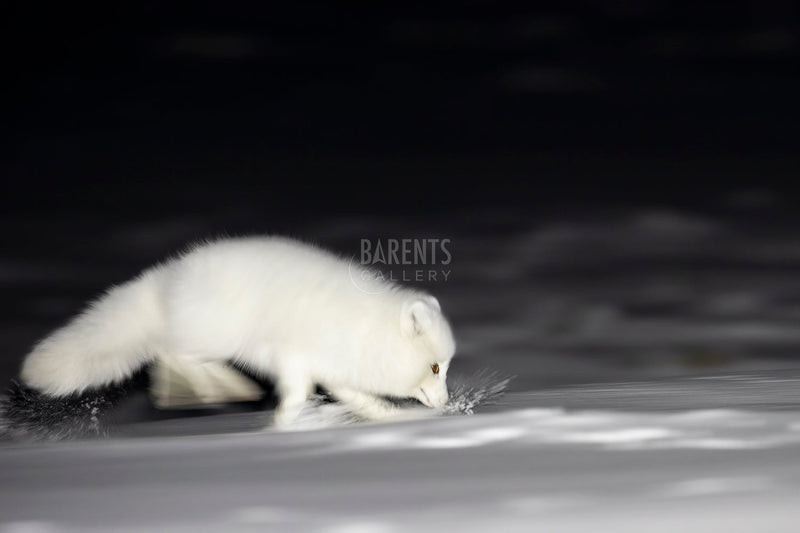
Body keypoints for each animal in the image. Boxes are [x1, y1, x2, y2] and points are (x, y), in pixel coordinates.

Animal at [11, 236, 456, 434]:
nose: (447, 403)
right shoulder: (295, 359)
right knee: (171, 357)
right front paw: (283, 427)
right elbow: (295, 398)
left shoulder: (333, 371)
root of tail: (165, 278)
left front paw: (398, 419)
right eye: (435, 367)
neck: (365, 330)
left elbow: (366, 404)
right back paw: (224, 389)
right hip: (217, 335)